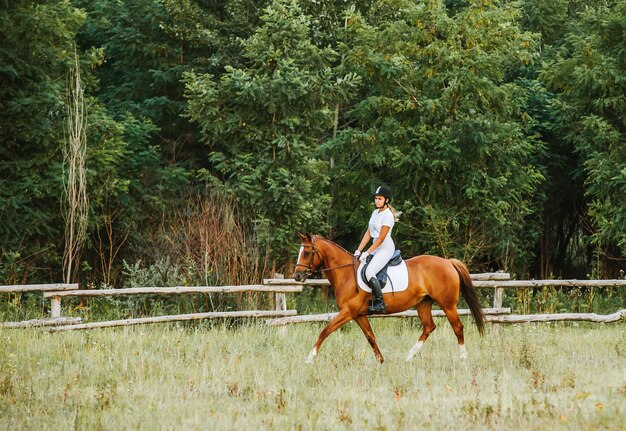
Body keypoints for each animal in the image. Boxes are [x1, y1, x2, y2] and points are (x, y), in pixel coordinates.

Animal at [290, 233, 486, 364]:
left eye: (306, 253)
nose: (297, 276)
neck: (346, 274)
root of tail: (448, 262)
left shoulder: (348, 312)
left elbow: (325, 331)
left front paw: (309, 358)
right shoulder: (358, 315)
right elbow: (371, 337)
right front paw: (381, 361)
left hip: (448, 304)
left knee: (458, 328)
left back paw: (463, 359)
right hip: (423, 304)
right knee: (429, 327)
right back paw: (409, 357)